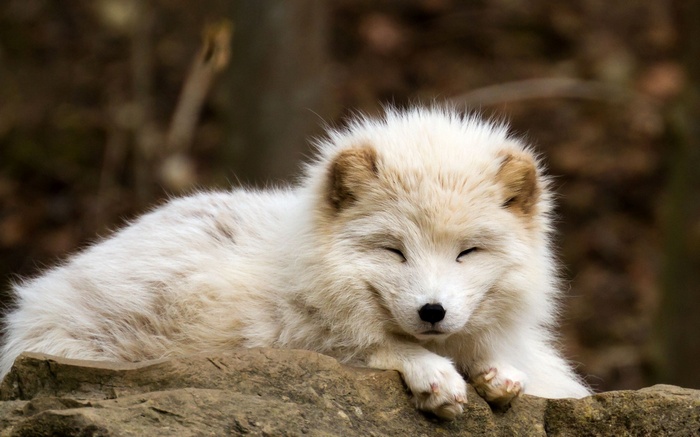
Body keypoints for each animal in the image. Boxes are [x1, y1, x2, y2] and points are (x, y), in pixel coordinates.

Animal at [0, 106, 590, 419]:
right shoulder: (282, 335)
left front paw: (497, 372)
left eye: (466, 252)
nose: (432, 311)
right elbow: (370, 347)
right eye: (393, 249)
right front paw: (433, 376)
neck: (302, 263)